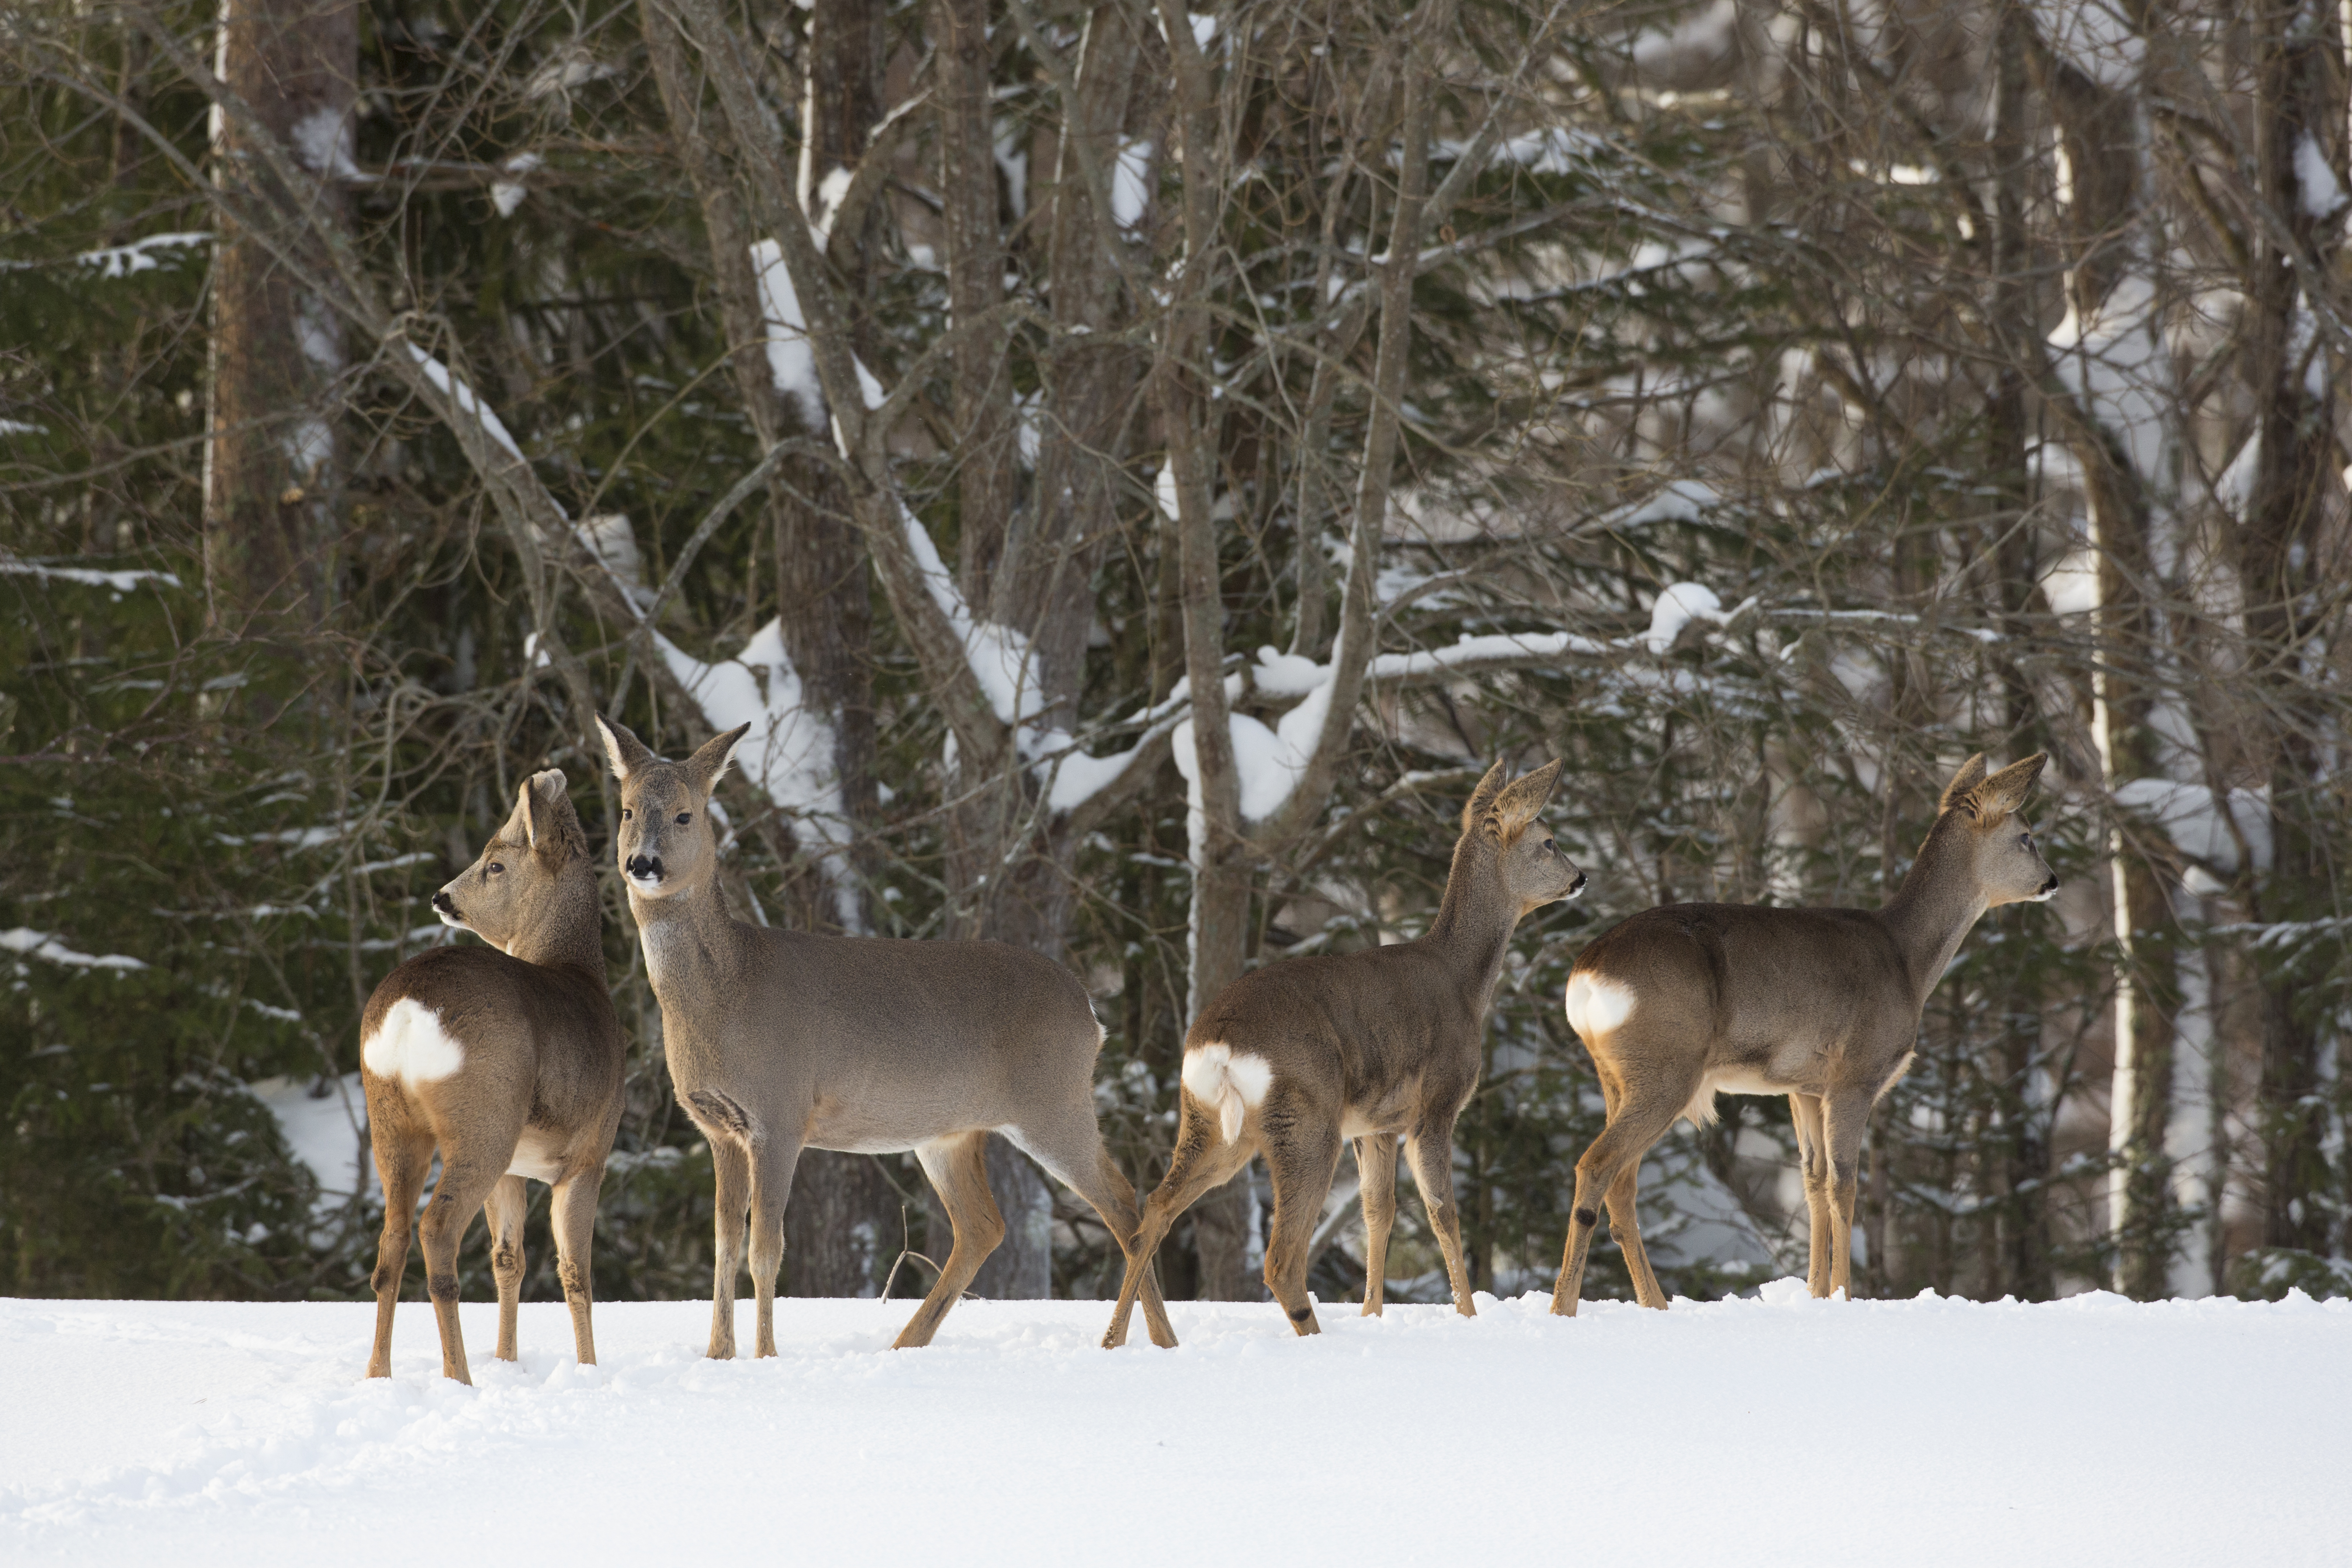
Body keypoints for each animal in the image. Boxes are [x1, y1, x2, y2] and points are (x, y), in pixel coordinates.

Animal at [353, 775, 621, 1382]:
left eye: (495, 863)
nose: (442, 897)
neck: (582, 975)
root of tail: (408, 1007)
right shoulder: (589, 1154)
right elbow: (576, 1272)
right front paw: (589, 1370)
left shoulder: (517, 1167)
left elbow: (508, 1259)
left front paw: (508, 1360)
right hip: (485, 1119)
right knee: (436, 1229)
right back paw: (458, 1377)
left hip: (393, 1118)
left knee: (391, 1240)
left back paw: (379, 1373)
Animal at [588, 719, 1176, 1354]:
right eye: (626, 809)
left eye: (685, 814)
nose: (642, 863)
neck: (728, 992)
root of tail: (1090, 1011)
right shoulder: (718, 1127)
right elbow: (723, 1249)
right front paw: (718, 1355)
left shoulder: (781, 1113)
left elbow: (765, 1250)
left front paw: (765, 1356)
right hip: (950, 1131)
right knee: (984, 1225)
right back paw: (907, 1343)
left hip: (1053, 1102)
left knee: (1126, 1203)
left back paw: (1139, 1341)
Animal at [1096, 762, 1580, 1354]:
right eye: (1549, 840)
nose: (1581, 876)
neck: (1465, 983)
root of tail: (1219, 1043)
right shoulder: (1436, 1104)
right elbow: (1443, 1212)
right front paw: (1467, 1317)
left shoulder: (1375, 1124)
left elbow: (1379, 1212)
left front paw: (1373, 1314)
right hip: (1307, 1118)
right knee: (1280, 1258)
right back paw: (1312, 1337)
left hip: (1211, 1123)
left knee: (1153, 1212)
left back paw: (1125, 1340)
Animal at [1552, 752, 2070, 1316]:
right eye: (2025, 835)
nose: (2052, 880)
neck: (1907, 961)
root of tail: (1586, 972)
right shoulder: (1855, 1074)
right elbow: (1844, 1184)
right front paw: (1844, 1293)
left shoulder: (1802, 1086)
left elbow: (1813, 1181)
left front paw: (1817, 1293)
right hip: (1665, 1067)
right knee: (1595, 1165)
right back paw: (1564, 1306)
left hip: (1616, 1074)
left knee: (1622, 1185)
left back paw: (1654, 1303)